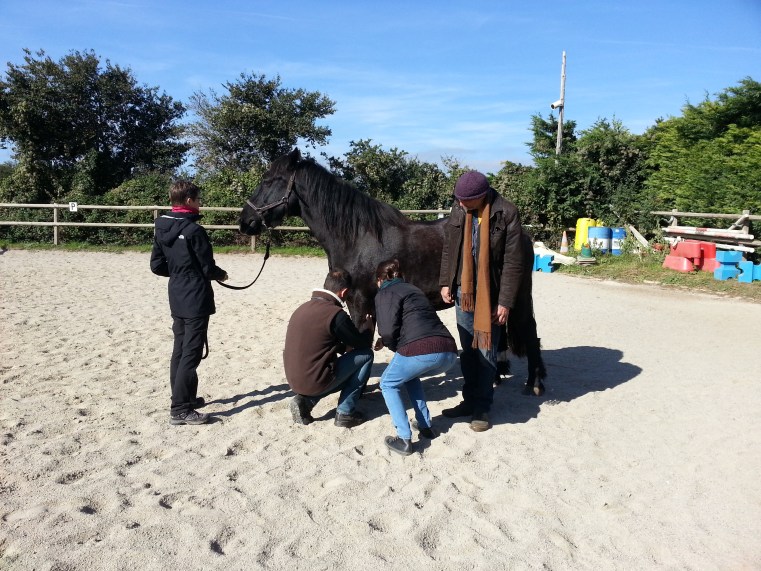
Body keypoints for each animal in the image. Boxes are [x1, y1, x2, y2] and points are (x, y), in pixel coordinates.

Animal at [239, 148, 546, 395]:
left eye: (269, 181)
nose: (245, 221)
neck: (358, 237)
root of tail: (521, 233)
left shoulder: (359, 302)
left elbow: (361, 344)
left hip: (518, 297)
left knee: (531, 333)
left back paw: (534, 384)